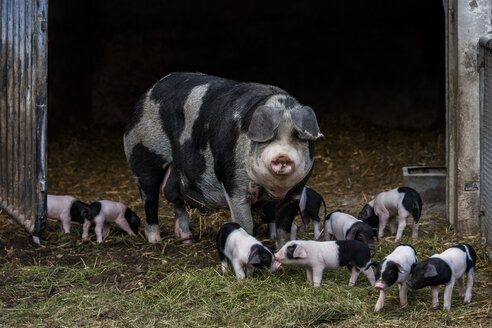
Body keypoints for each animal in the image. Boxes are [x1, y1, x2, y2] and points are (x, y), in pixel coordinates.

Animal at [124, 72, 322, 246]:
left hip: (176, 172)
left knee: (177, 199)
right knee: (150, 200)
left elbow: (284, 228)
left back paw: (187, 240)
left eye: (298, 137)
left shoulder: (295, 192)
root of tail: (147, 93)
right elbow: (245, 224)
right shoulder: (234, 184)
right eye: (268, 138)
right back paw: (155, 241)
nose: (282, 155)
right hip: (143, 155)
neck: (272, 189)